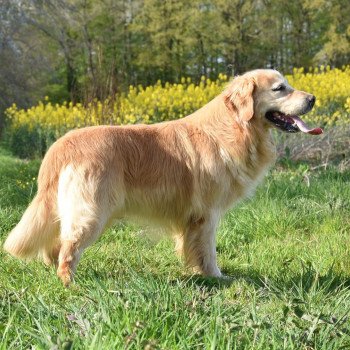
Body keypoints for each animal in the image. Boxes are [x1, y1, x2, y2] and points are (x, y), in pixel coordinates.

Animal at [2, 69, 322, 286]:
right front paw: (217, 277)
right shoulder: (207, 214)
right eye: (280, 88)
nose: (313, 98)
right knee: (67, 250)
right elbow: (208, 251)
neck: (235, 126)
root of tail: (60, 145)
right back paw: (69, 283)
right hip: (91, 212)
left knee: (54, 244)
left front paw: (198, 273)